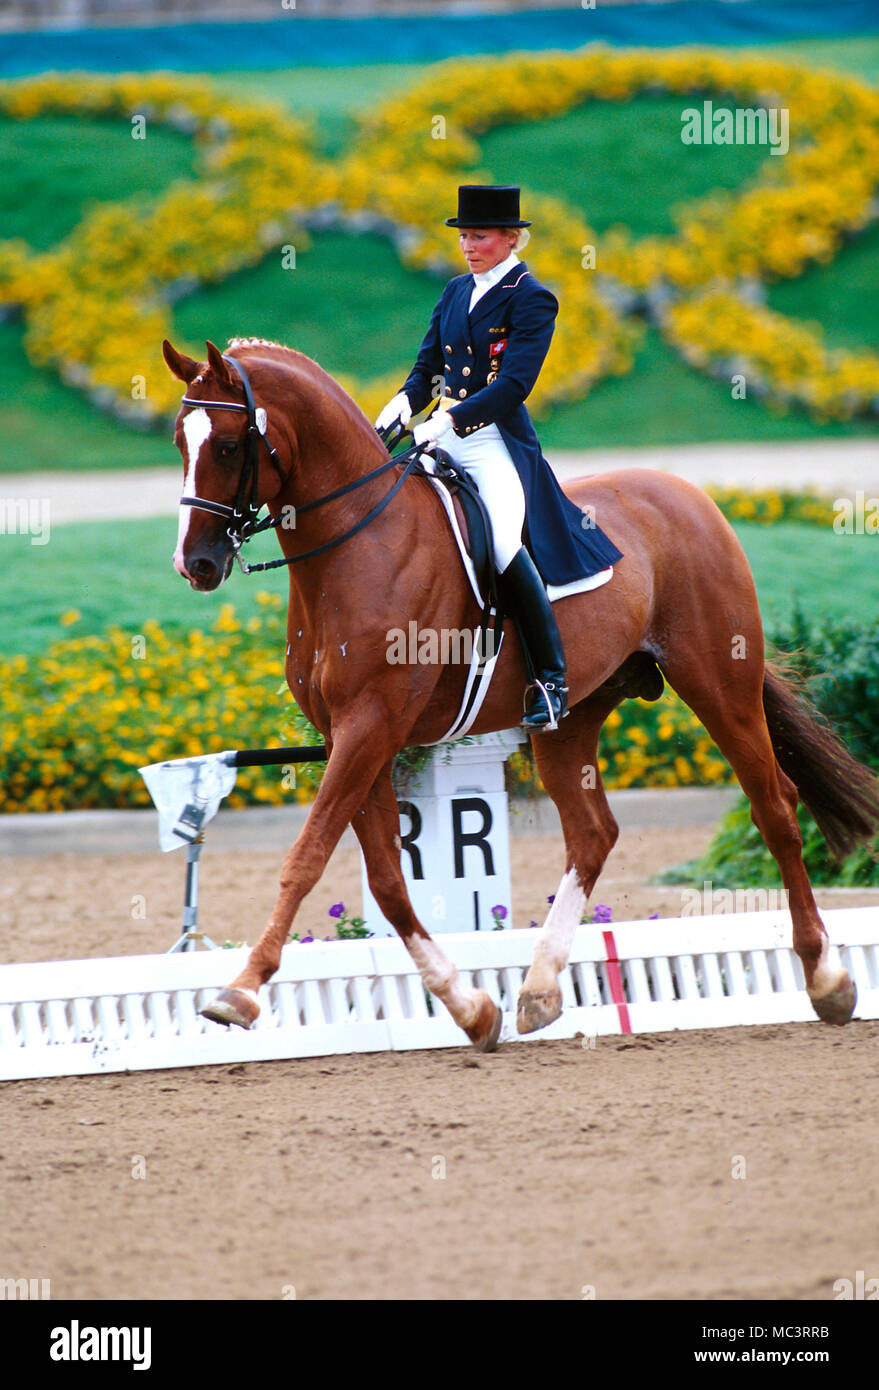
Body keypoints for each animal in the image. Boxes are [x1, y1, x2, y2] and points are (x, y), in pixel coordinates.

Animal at [161, 339, 873, 1050]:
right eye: (178, 441)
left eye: (227, 445)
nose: (194, 566)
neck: (358, 546)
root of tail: (687, 493)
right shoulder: (350, 736)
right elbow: (389, 880)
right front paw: (472, 1008)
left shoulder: (369, 727)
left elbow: (306, 857)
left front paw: (238, 992)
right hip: (571, 717)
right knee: (593, 833)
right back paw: (539, 988)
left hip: (719, 684)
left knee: (775, 806)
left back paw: (827, 979)